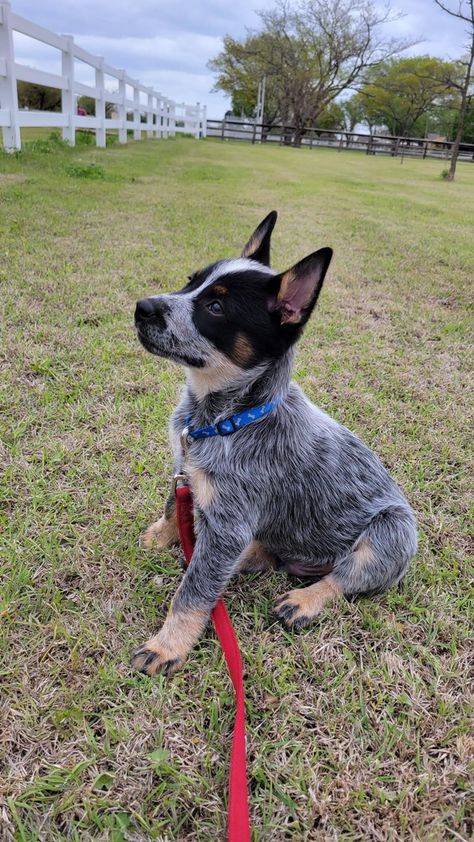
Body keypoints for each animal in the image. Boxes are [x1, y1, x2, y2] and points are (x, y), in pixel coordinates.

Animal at [131, 212, 416, 676]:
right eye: (190, 281)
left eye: (215, 307)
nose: (141, 307)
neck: (226, 419)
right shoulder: (185, 468)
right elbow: (175, 505)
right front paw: (163, 536)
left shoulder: (228, 523)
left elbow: (192, 593)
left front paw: (167, 645)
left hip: (392, 533)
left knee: (343, 577)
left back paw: (304, 599)